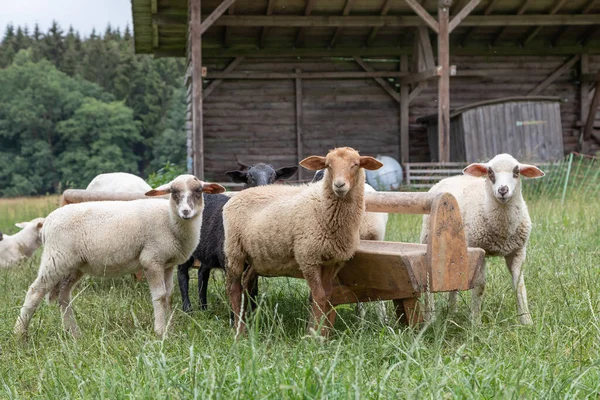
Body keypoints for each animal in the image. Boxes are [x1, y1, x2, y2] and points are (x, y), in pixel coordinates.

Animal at [13, 175, 225, 338]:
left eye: (199, 190)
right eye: (173, 192)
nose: (185, 212)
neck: (170, 221)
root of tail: (48, 221)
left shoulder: (167, 264)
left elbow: (169, 296)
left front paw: (169, 329)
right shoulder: (152, 259)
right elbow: (159, 296)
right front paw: (160, 331)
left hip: (74, 265)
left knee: (63, 296)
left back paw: (74, 333)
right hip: (56, 259)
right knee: (34, 292)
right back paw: (19, 333)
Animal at [178, 162, 300, 312]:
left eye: (274, 176)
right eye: (249, 177)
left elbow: (253, 290)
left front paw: (254, 313)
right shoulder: (229, 261)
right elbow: (234, 292)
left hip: (207, 251)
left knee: (202, 273)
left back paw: (203, 307)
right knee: (183, 274)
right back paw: (187, 309)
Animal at [223, 145, 382, 336]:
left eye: (356, 164)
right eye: (328, 165)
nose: (339, 185)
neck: (322, 207)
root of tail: (239, 194)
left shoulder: (332, 261)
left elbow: (327, 296)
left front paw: (323, 333)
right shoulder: (308, 258)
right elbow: (318, 296)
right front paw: (314, 334)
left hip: (257, 255)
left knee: (246, 282)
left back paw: (248, 321)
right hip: (234, 250)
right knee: (233, 288)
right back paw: (239, 330)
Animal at [420, 154, 548, 324]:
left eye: (516, 172)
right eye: (490, 172)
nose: (503, 190)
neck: (502, 231)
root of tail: (448, 178)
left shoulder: (518, 252)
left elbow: (519, 285)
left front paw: (526, 321)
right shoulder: (479, 250)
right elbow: (480, 287)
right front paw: (476, 322)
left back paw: (452, 313)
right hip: (429, 238)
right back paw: (430, 317)